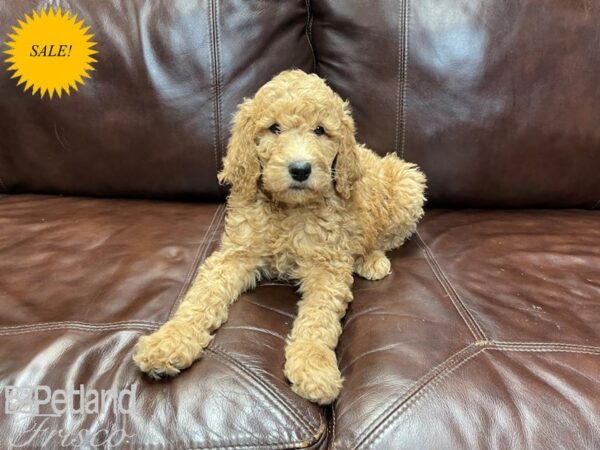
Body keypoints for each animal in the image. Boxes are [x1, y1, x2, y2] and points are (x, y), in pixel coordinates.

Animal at [135, 69, 426, 404]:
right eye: (274, 128)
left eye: (320, 130)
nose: (300, 169)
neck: (289, 209)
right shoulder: (236, 253)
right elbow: (201, 296)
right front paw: (169, 341)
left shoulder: (328, 266)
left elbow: (319, 317)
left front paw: (313, 366)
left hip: (408, 183)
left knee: (390, 237)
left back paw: (370, 258)